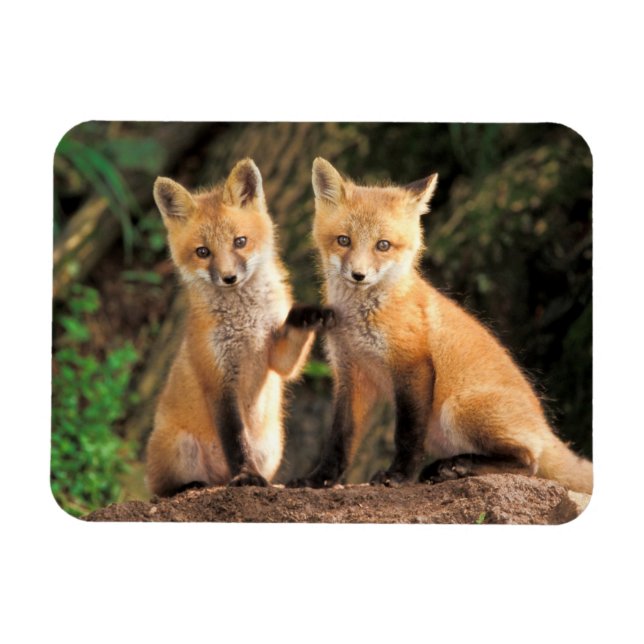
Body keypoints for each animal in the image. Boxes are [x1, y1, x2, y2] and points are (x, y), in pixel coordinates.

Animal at [146, 158, 334, 496]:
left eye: (240, 242)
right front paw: (246, 475)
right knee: (162, 489)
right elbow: (235, 441)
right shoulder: (219, 380)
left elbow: (289, 349)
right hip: (180, 448)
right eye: (203, 252)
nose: (229, 278)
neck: (246, 323)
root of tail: (218, 479)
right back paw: (192, 486)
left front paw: (308, 315)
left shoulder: (276, 357)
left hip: (272, 448)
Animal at [287, 157, 592, 495]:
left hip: (456, 408)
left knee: (529, 462)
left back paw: (457, 467)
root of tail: (544, 427)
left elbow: (407, 434)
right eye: (344, 240)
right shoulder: (351, 373)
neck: (360, 319)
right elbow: (340, 437)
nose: (358, 275)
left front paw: (398, 476)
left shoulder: (413, 364)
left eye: (383, 245)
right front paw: (319, 479)